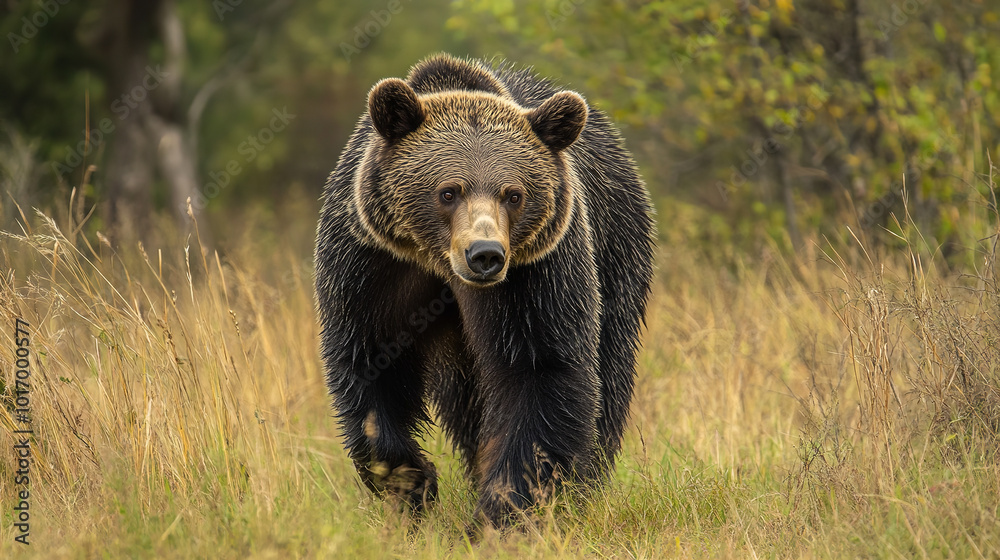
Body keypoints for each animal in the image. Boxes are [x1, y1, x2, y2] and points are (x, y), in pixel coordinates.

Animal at [314, 53, 655, 527]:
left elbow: (539, 371)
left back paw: (585, 483)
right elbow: (370, 363)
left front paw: (502, 510)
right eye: (448, 191)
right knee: (467, 401)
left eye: (514, 194)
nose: (485, 254)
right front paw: (412, 481)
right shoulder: (372, 265)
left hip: (617, 253)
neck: (441, 265)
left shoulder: (536, 276)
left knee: (610, 370)